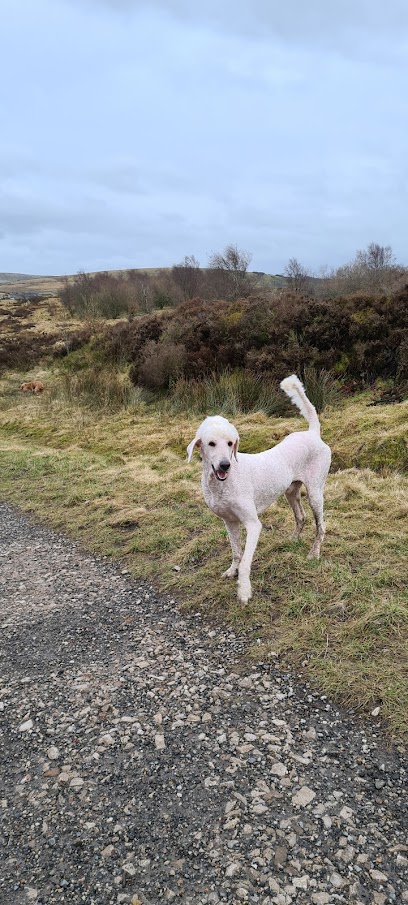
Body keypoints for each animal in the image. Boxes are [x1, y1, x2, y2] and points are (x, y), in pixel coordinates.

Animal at [187, 370, 332, 604]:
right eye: (211, 443)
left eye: (230, 443)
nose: (225, 465)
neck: (224, 483)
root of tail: (313, 433)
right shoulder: (229, 521)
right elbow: (237, 552)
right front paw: (232, 571)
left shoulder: (253, 524)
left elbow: (246, 560)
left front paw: (244, 590)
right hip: (291, 491)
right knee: (300, 517)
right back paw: (292, 539)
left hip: (315, 492)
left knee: (321, 526)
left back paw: (314, 553)